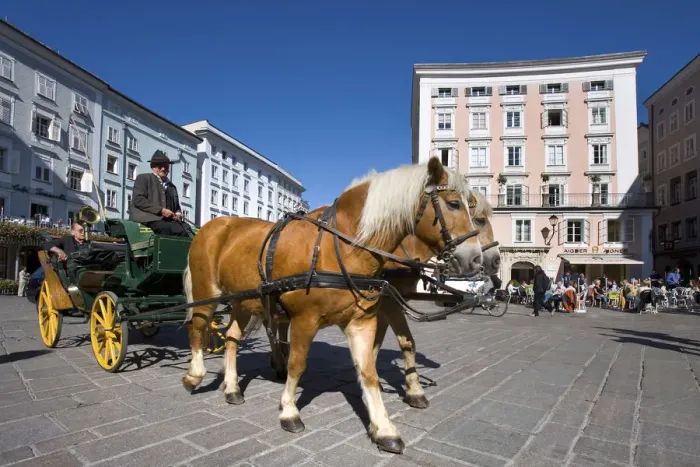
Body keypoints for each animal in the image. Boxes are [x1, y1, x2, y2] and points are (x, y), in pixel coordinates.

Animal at [181, 157, 483, 454]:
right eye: (453, 204)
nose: (476, 258)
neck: (341, 246)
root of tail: (214, 225)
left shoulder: (362, 321)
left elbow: (369, 370)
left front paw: (384, 428)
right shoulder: (305, 319)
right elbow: (298, 364)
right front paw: (289, 411)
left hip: (243, 301)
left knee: (232, 338)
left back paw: (232, 387)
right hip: (207, 292)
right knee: (197, 328)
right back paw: (194, 376)